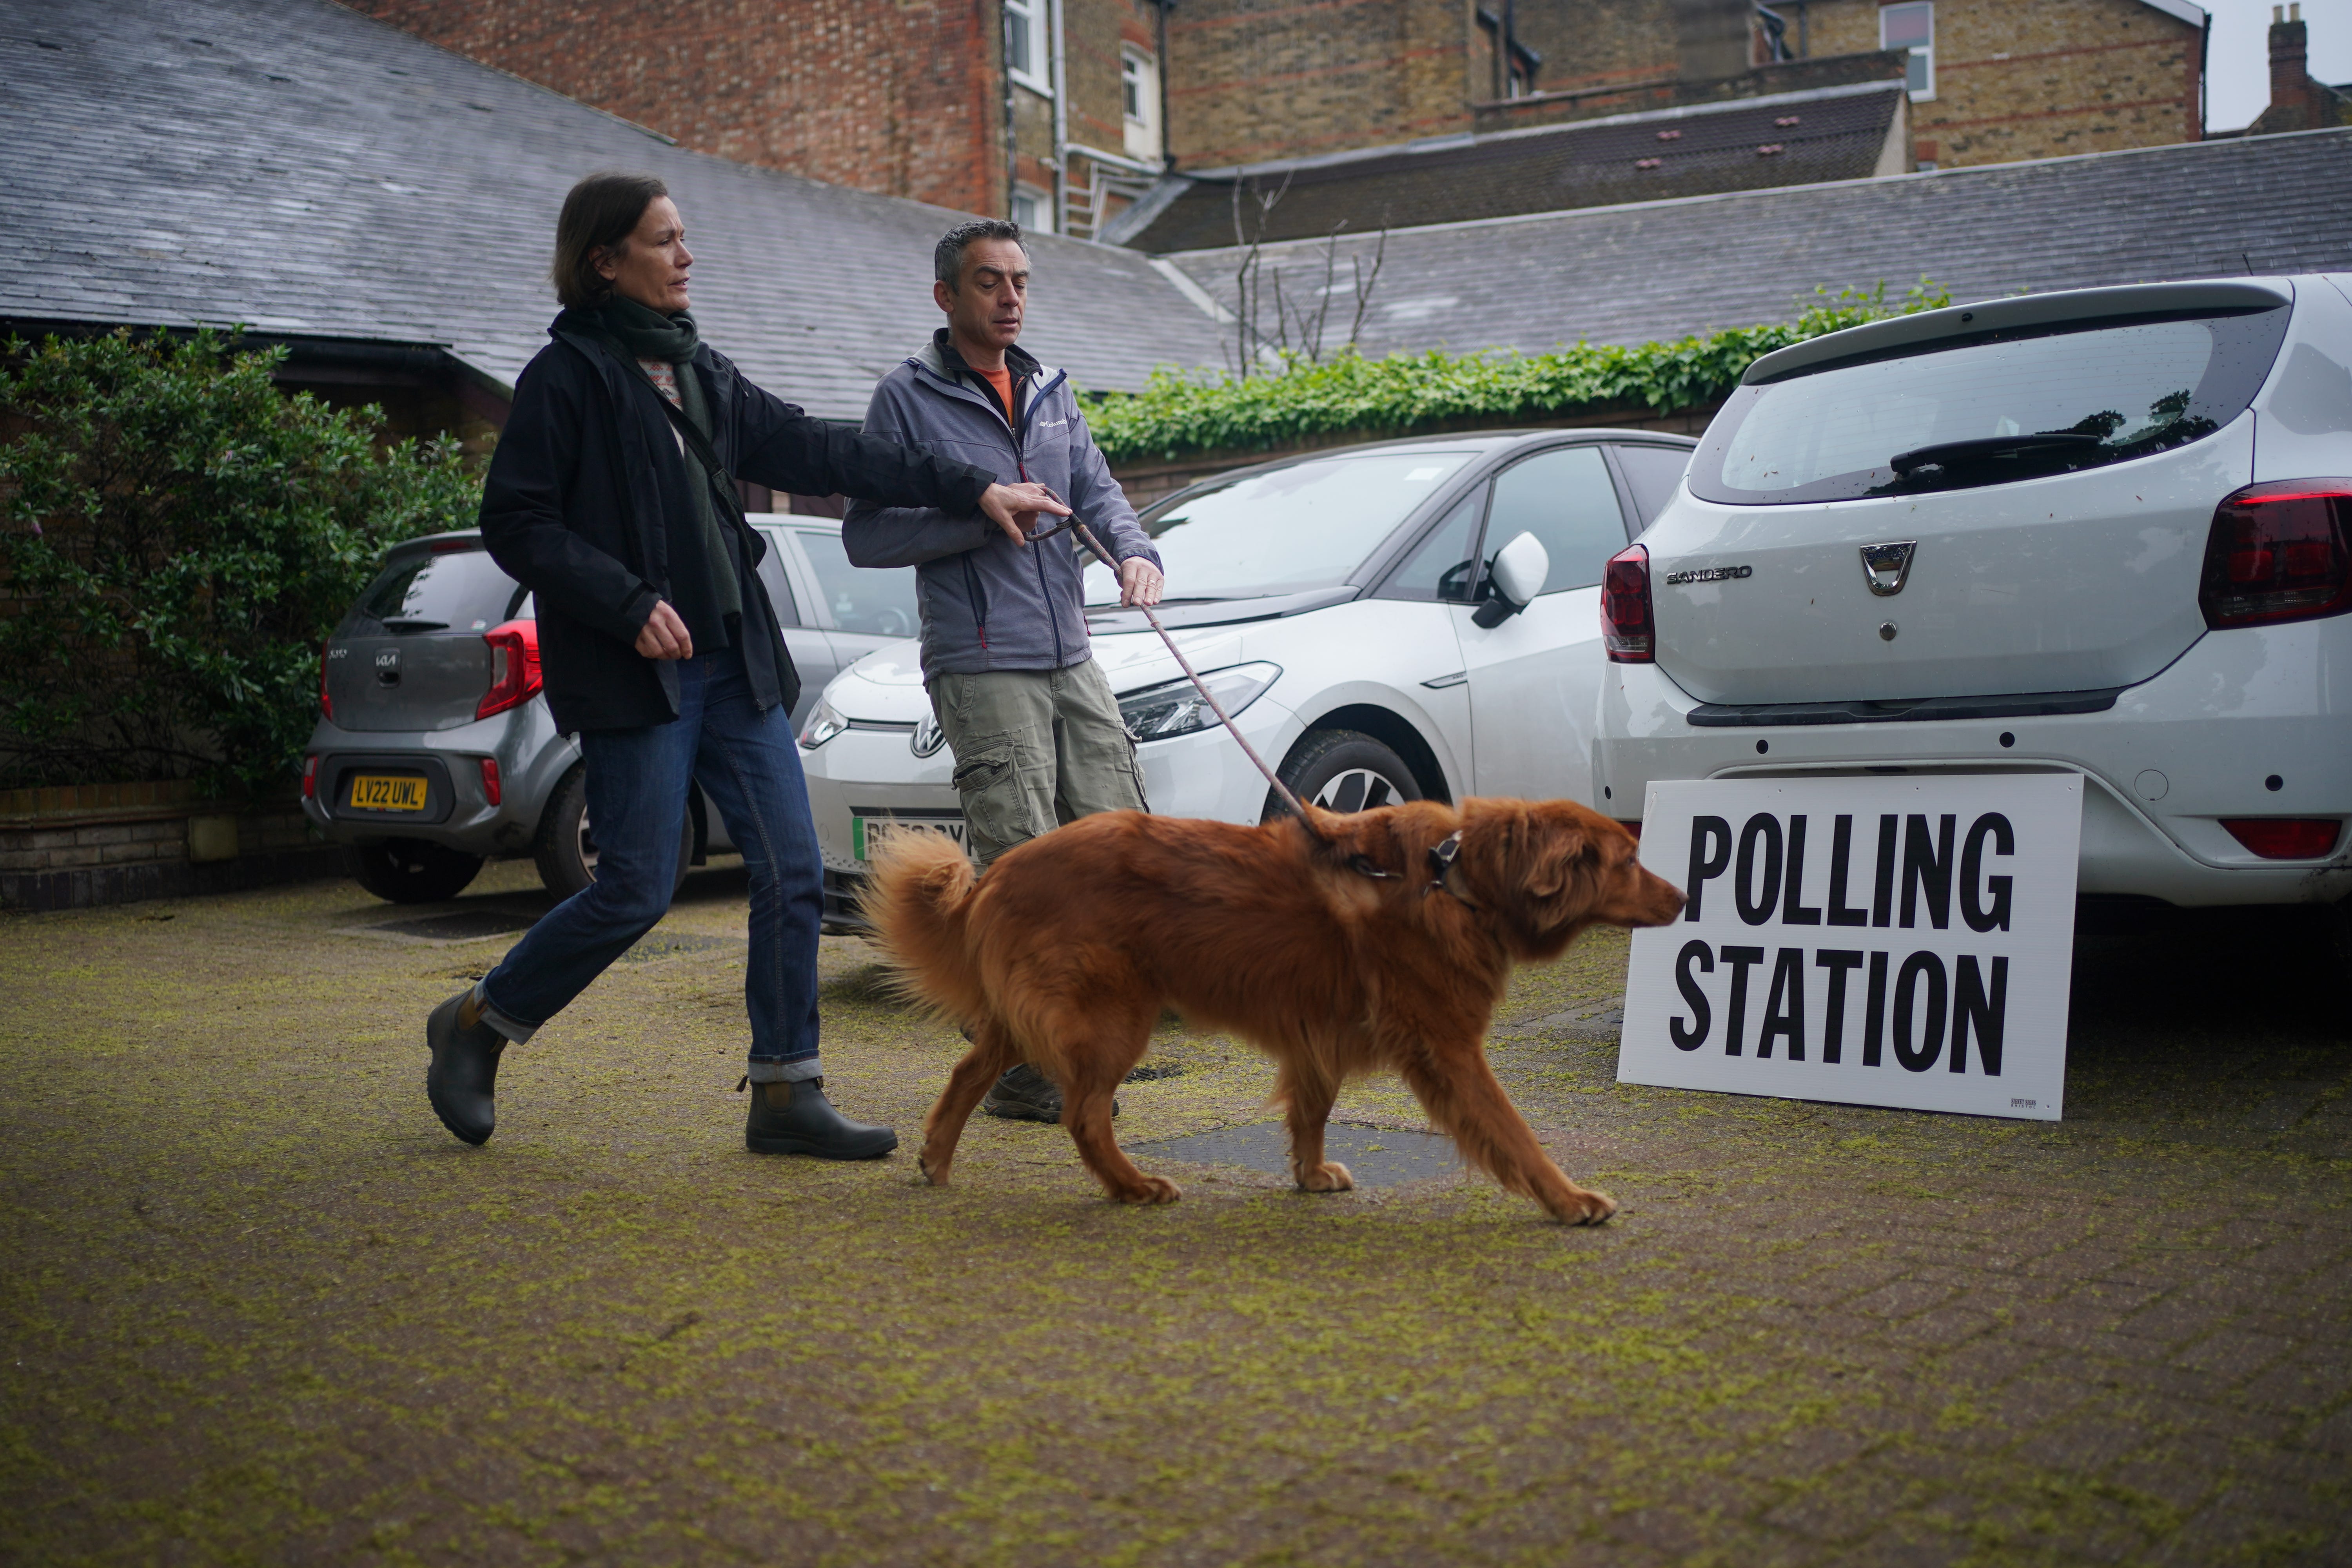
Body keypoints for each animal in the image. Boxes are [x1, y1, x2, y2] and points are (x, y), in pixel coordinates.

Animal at [866, 799, 1693, 1222]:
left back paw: (936, 1159)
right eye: (1628, 861)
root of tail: (999, 871)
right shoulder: (1447, 1044)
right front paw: (1568, 1198)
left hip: (1032, 1018)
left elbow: (1312, 1110)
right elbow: (1512, 1131)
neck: (1456, 876)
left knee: (968, 1072)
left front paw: (1309, 1174)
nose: (1687, 897)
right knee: (1083, 1114)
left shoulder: (1320, 1027)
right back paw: (1131, 1187)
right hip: (1113, 1019)